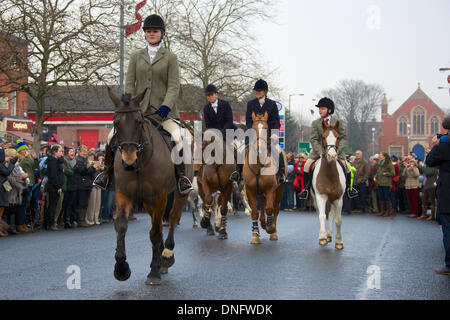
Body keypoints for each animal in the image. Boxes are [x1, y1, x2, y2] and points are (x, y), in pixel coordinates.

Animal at [110, 87, 194, 284]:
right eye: (116, 122)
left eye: (139, 122)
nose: (129, 160)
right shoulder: (123, 193)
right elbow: (121, 225)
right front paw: (121, 268)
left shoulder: (160, 196)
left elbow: (156, 232)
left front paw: (154, 270)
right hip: (147, 202)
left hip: (180, 194)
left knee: (173, 218)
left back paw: (167, 255)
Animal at [244, 112, 286, 245]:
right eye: (253, 128)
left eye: (267, 128)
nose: (259, 149)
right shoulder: (250, 190)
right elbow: (254, 212)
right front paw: (255, 235)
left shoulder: (271, 189)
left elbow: (269, 209)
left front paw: (270, 227)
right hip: (261, 192)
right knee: (262, 206)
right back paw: (263, 224)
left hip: (279, 190)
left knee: (275, 208)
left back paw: (273, 231)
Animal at [312, 120, 346, 250]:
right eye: (323, 137)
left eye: (338, 137)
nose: (332, 156)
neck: (329, 174)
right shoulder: (320, 197)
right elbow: (322, 216)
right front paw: (322, 237)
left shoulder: (338, 199)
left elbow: (338, 220)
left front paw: (339, 241)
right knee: (321, 214)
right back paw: (326, 235)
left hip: (332, 200)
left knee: (331, 215)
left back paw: (329, 235)